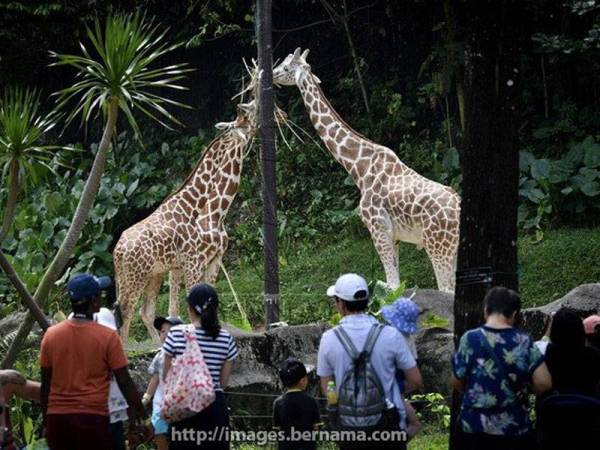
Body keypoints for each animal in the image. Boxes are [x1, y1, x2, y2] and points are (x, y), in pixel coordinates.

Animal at [115, 101, 258, 342]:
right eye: (246, 116)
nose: (280, 112)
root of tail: (118, 250)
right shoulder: (192, 262)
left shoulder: (209, 260)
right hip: (136, 276)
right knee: (126, 312)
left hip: (144, 275)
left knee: (142, 312)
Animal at [274, 49, 462, 294]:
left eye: (287, 68)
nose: (272, 74)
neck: (358, 167)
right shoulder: (393, 236)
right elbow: (394, 285)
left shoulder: (377, 229)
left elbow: (392, 286)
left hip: (439, 247)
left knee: (446, 290)